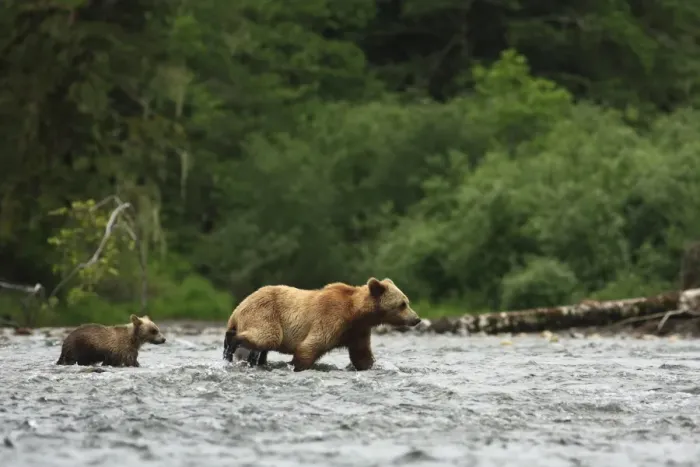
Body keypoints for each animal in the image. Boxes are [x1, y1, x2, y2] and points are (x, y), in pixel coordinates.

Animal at [222, 277, 421, 372]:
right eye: (402, 304)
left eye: (407, 301)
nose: (417, 319)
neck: (356, 313)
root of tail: (238, 307)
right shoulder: (330, 318)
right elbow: (310, 346)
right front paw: (296, 365)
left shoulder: (357, 331)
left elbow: (362, 356)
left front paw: (371, 366)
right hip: (264, 313)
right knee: (267, 336)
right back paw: (230, 347)